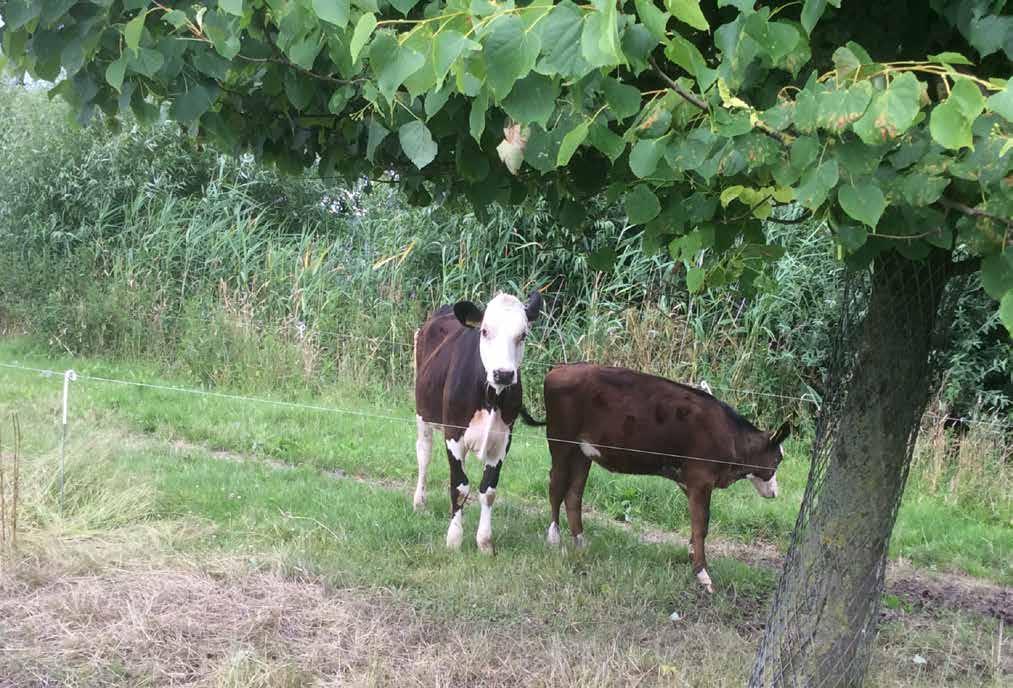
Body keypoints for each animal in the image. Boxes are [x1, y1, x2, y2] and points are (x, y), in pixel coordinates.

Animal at [411, 289, 542, 555]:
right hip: (423, 414)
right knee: (424, 454)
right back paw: (419, 502)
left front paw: (484, 542)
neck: (491, 397)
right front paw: (454, 539)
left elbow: (488, 490)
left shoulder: (503, 441)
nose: (503, 373)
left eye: (523, 335)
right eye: (484, 331)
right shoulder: (453, 434)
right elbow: (460, 487)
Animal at [542, 362, 786, 595]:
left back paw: (580, 542)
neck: (730, 438)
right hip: (560, 441)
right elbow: (702, 526)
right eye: (778, 459)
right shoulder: (701, 479)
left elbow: (696, 525)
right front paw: (703, 575)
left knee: (574, 493)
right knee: (556, 486)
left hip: (582, 452)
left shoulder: (687, 480)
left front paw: (692, 556)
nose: (776, 492)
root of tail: (562, 367)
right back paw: (554, 537)